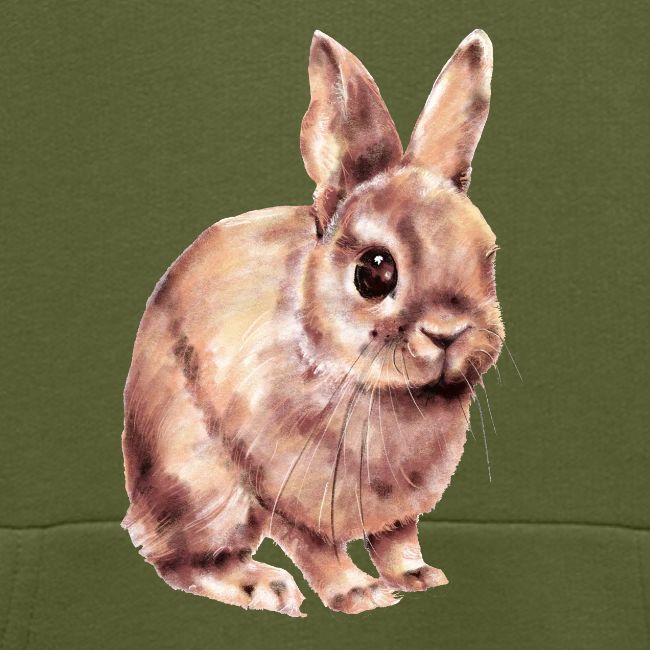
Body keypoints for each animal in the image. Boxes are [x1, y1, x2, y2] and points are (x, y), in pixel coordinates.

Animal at [122, 28, 504, 617]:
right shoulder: (283, 488)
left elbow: (397, 538)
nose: (447, 332)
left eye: (488, 258)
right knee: (181, 560)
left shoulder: (396, 510)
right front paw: (361, 594)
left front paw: (417, 576)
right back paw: (264, 586)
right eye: (375, 272)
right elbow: (316, 548)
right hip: (204, 487)